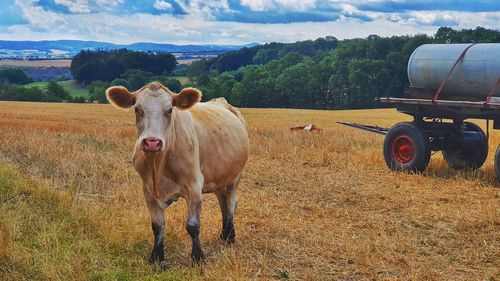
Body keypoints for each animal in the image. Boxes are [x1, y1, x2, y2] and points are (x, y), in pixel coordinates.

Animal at [108, 81, 252, 262]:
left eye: (170, 110)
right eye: (137, 109)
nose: (152, 142)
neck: (158, 167)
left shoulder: (194, 186)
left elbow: (193, 225)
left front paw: (198, 257)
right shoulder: (148, 190)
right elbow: (157, 226)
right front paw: (156, 256)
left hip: (234, 177)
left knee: (231, 203)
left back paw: (230, 237)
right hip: (220, 179)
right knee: (223, 203)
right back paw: (224, 234)